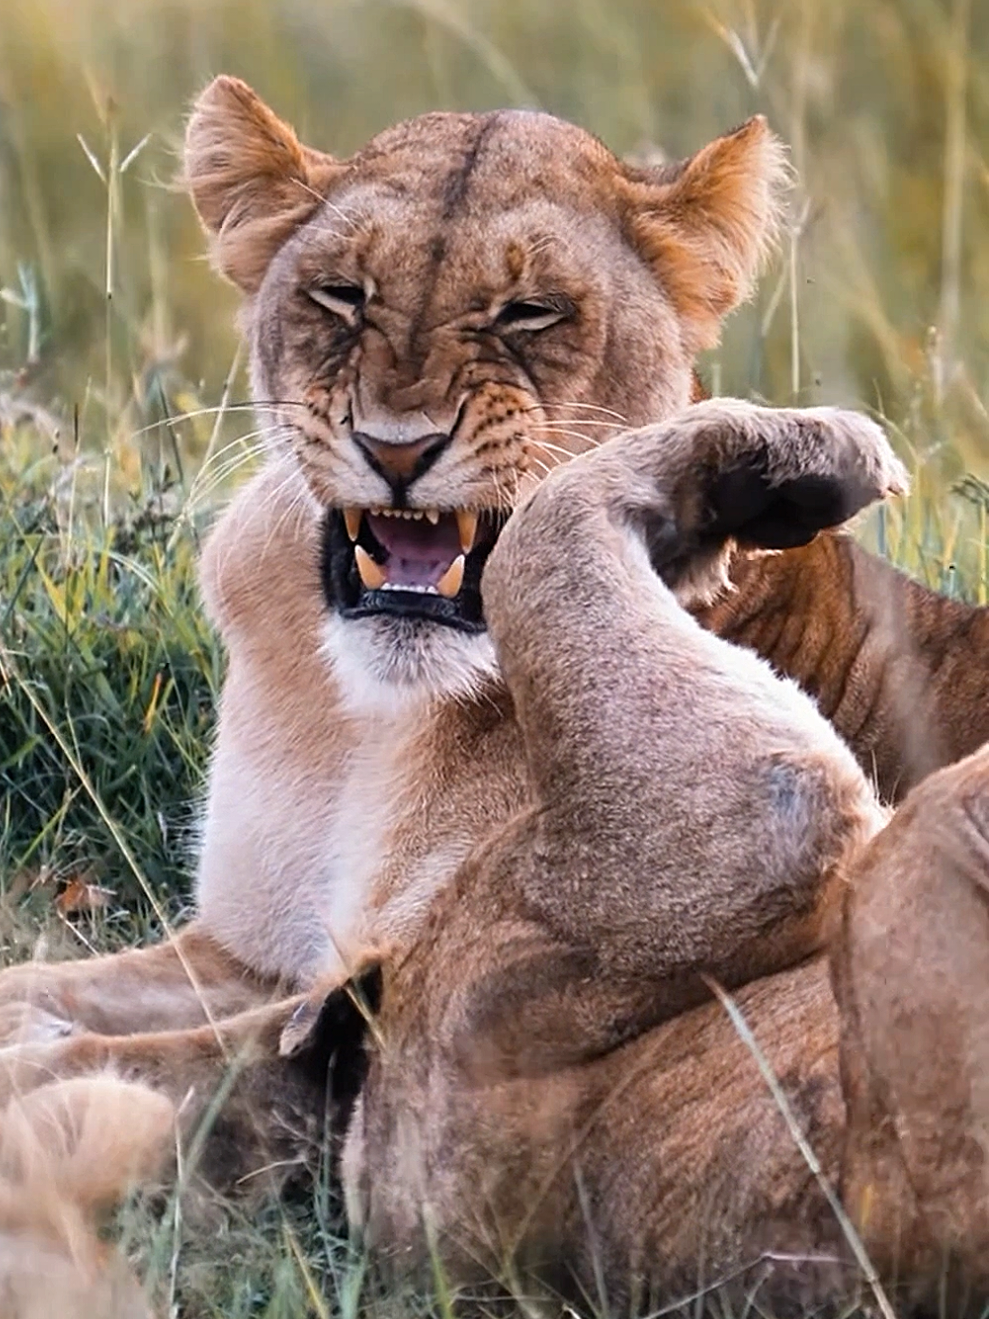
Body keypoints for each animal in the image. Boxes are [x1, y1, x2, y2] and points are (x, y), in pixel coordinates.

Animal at [0, 76, 988, 1308]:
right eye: (342, 293)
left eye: (528, 311)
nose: (396, 447)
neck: (370, 723)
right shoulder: (258, 948)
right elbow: (61, 993)